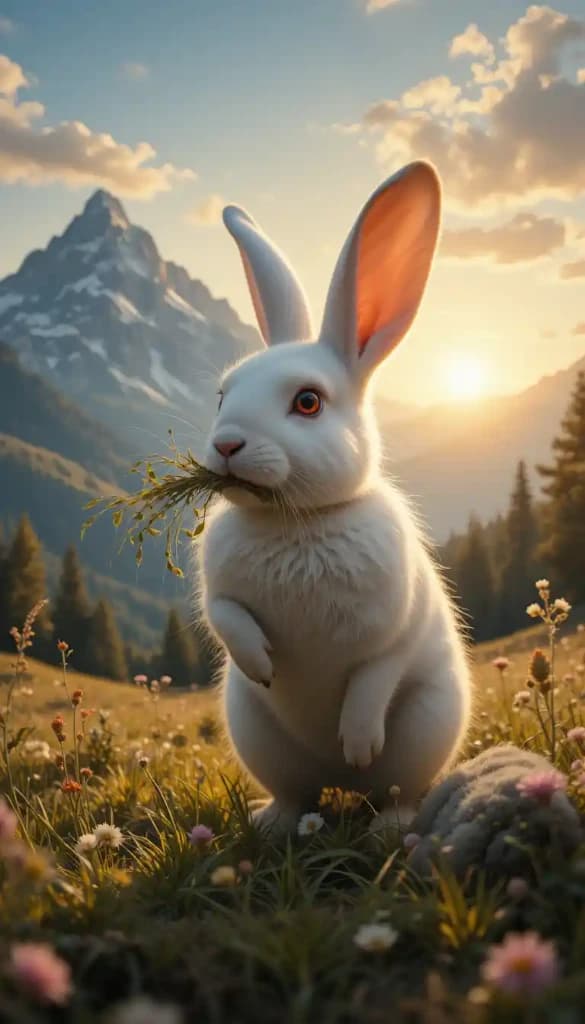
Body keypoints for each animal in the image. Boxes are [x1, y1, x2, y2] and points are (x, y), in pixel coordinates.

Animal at [195, 161, 472, 834]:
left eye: (308, 402)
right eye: (223, 394)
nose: (227, 444)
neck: (297, 520)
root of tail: (340, 789)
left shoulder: (399, 624)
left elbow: (377, 674)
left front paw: (358, 740)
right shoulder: (219, 593)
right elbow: (225, 617)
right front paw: (262, 664)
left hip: (424, 732)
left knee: (395, 789)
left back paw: (385, 819)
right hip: (260, 740)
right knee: (298, 795)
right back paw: (273, 823)